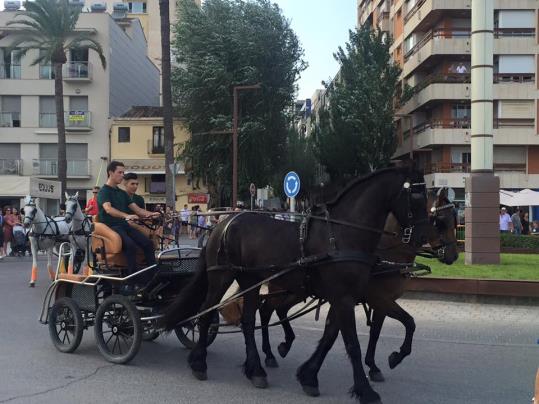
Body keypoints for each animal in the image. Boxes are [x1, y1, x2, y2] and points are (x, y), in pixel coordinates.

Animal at [162, 165, 432, 404]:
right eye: (417, 196)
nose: (422, 237)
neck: (342, 235)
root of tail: (222, 223)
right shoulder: (345, 297)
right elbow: (352, 343)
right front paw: (366, 390)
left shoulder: (345, 297)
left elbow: (331, 336)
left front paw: (309, 376)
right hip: (221, 277)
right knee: (205, 314)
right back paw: (200, 363)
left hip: (251, 280)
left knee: (249, 321)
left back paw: (255, 370)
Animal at [260, 188, 460, 384]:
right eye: (440, 222)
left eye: (454, 219)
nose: (454, 255)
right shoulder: (378, 298)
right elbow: (409, 322)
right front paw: (395, 357)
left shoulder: (380, 302)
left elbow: (376, 332)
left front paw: (372, 366)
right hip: (282, 289)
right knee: (266, 310)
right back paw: (269, 353)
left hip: (297, 291)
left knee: (277, 310)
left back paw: (282, 346)